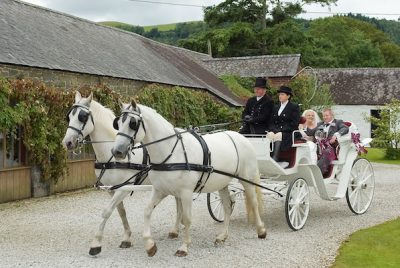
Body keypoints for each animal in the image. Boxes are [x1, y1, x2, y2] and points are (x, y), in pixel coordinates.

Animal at [61, 93, 183, 256]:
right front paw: (126, 238)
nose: (67, 142)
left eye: (83, 117)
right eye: (69, 117)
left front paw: (96, 244)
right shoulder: (112, 189)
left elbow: (107, 212)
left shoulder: (124, 187)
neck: (110, 156)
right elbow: (121, 212)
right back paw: (175, 230)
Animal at [111, 100, 266, 258]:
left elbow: (186, 218)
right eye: (118, 123)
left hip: (247, 179)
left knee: (254, 203)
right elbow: (147, 211)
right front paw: (150, 245)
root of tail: (241, 137)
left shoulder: (186, 192)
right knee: (228, 207)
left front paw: (184, 247)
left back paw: (261, 230)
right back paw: (222, 236)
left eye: (133, 123)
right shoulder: (160, 190)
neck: (171, 152)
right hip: (222, 184)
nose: (117, 151)